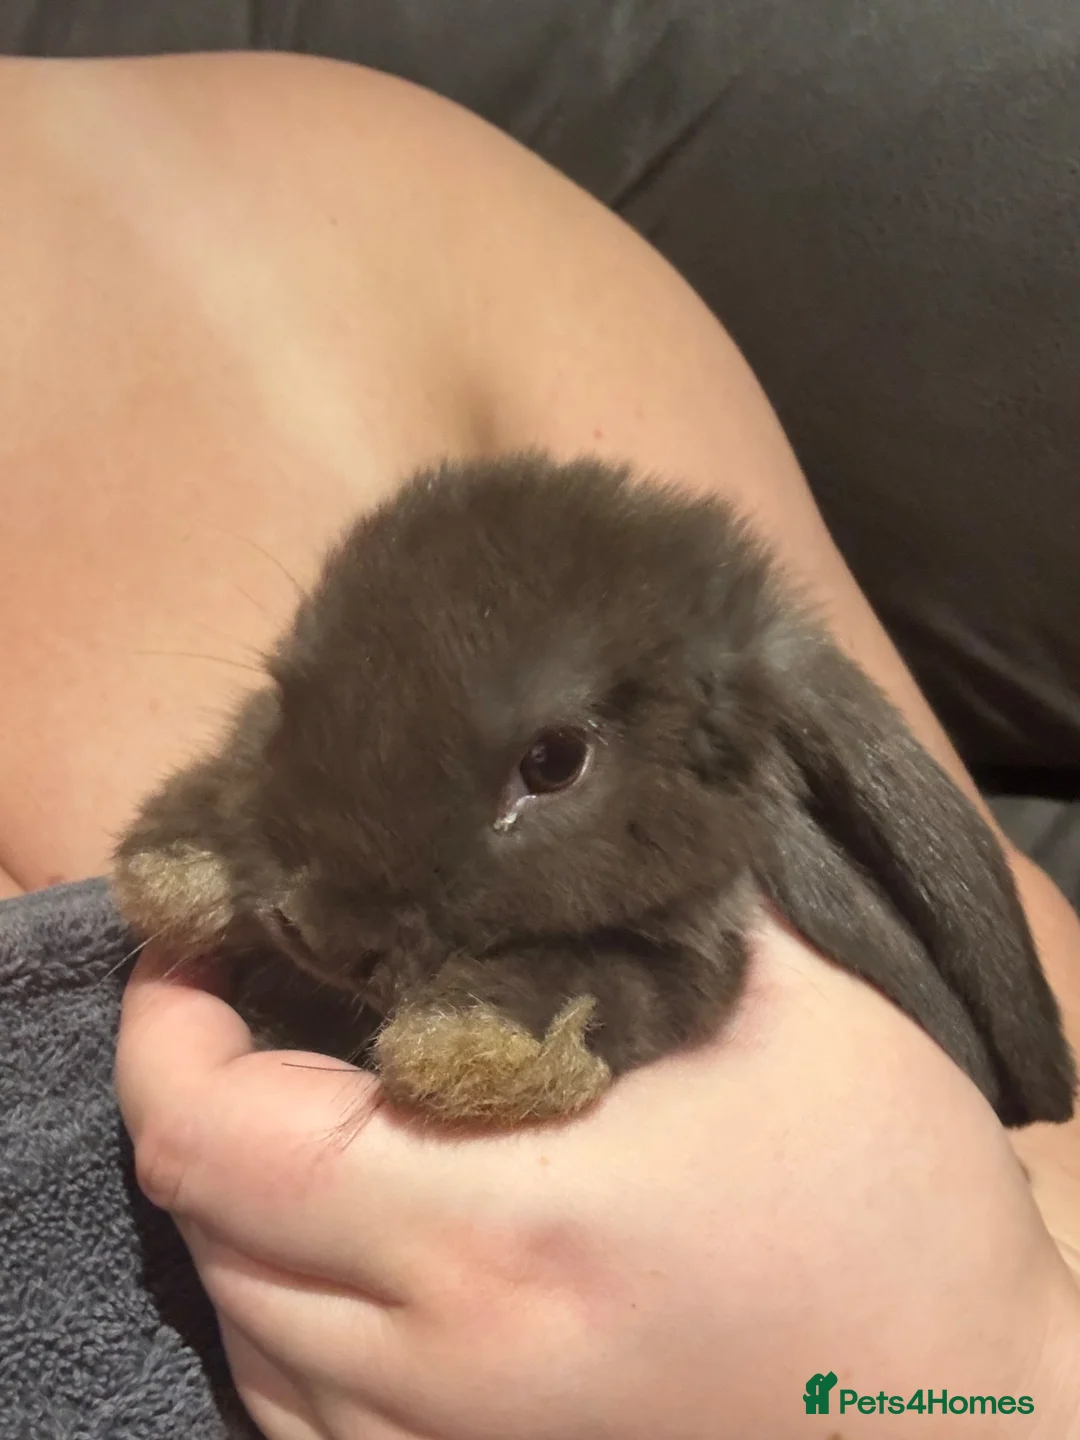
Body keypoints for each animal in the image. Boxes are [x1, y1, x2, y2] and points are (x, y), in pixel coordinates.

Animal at [112, 451, 1076, 1128]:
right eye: (287, 686)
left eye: (553, 763)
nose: (318, 931)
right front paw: (180, 856)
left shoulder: (687, 956)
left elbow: (624, 979)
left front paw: (474, 1043)